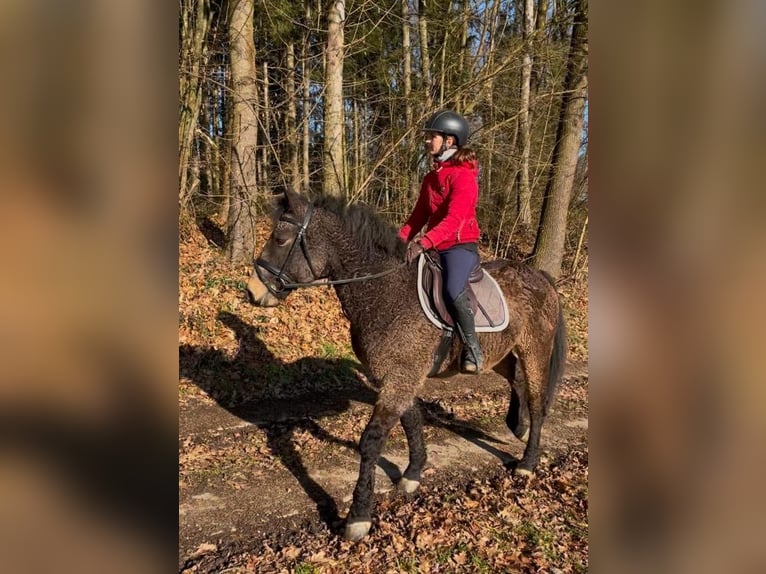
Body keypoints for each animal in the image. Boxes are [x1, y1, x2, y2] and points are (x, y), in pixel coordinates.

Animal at [249, 190, 568, 544]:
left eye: (280, 238)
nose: (253, 291)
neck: (384, 290)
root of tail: (542, 278)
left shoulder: (401, 378)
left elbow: (371, 441)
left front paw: (358, 516)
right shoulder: (398, 377)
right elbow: (412, 421)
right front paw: (413, 473)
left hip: (535, 349)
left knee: (538, 400)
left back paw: (528, 461)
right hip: (499, 352)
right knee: (516, 380)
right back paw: (517, 425)